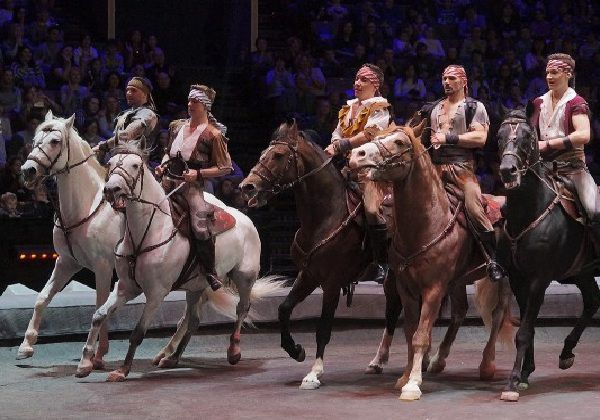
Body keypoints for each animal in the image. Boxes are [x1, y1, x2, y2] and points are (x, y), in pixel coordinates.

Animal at [19, 109, 122, 368]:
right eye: (34, 139)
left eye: (55, 141)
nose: (28, 170)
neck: (86, 207)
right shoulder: (66, 263)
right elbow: (42, 298)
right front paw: (26, 345)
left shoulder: (103, 267)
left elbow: (100, 305)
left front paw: (95, 354)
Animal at [76, 141, 280, 380]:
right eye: (109, 163)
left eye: (135, 165)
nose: (111, 189)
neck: (148, 233)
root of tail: (247, 220)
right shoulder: (125, 287)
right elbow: (99, 315)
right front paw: (85, 364)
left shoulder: (156, 294)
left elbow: (137, 333)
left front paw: (122, 370)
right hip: (196, 286)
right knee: (193, 320)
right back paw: (171, 358)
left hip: (244, 277)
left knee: (242, 309)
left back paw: (233, 351)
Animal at [239, 120, 404, 388]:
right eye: (264, 152)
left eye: (278, 155)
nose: (247, 186)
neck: (325, 217)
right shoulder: (308, 276)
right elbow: (284, 308)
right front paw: (295, 350)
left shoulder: (332, 283)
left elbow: (323, 328)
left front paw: (314, 372)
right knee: (392, 311)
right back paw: (378, 361)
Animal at [350, 124, 512, 400]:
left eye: (399, 142)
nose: (357, 155)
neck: (427, 224)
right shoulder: (406, 289)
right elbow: (409, 332)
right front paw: (405, 376)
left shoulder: (434, 289)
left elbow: (421, 335)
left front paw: (413, 383)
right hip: (457, 281)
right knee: (459, 311)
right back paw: (438, 360)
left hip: (504, 280)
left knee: (498, 313)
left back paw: (486, 364)